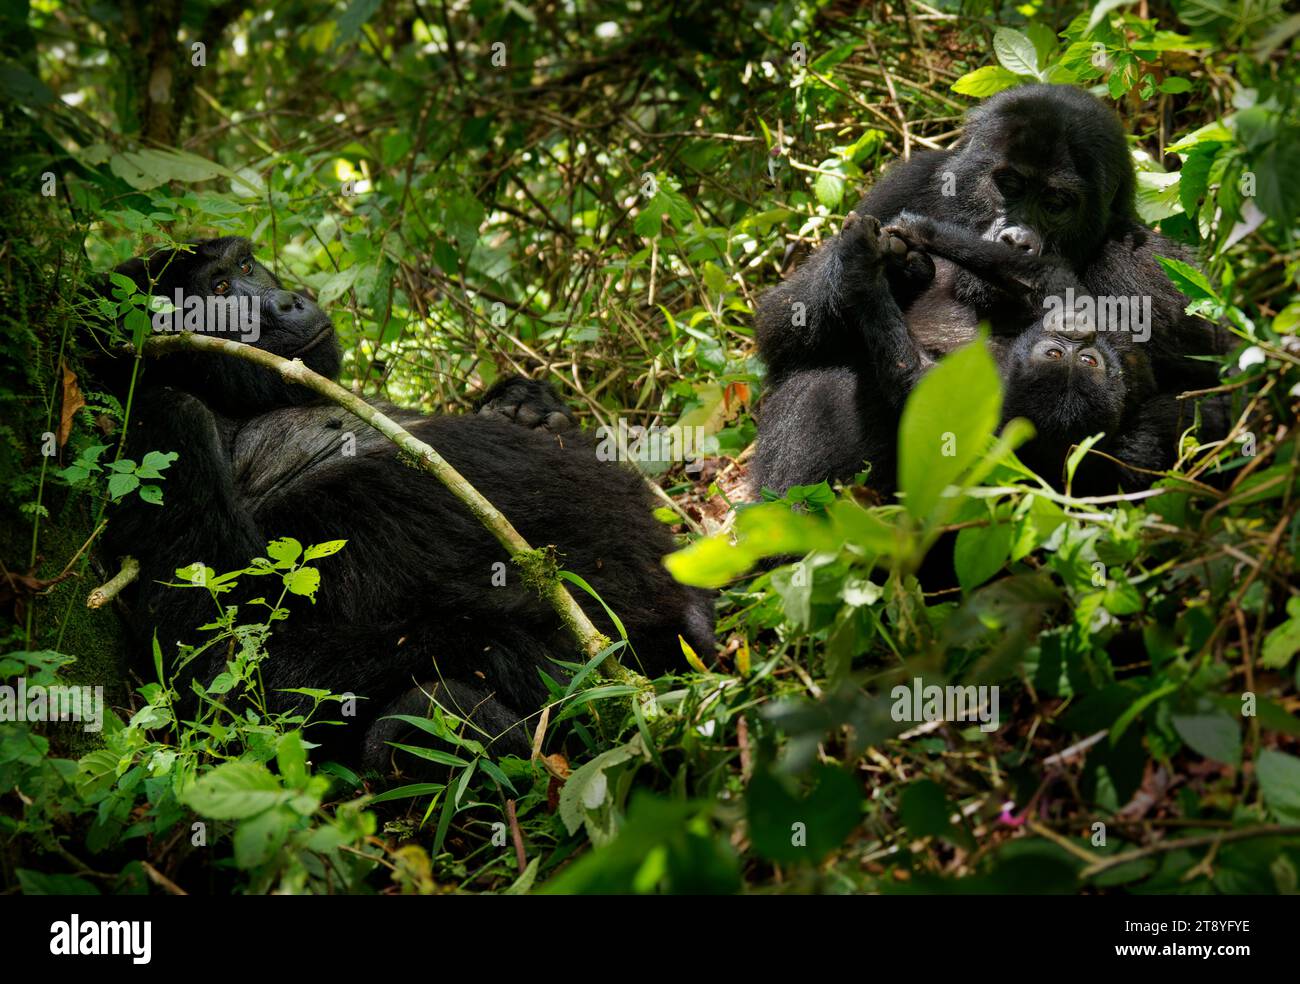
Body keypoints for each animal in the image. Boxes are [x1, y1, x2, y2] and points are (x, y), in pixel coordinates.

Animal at [97, 237, 717, 769]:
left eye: (247, 266)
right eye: (221, 291)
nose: (290, 299)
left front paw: (526, 405)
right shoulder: (164, 426)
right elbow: (232, 675)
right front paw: (507, 653)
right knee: (415, 714)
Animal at [754, 83, 1227, 493]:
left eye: (1057, 204)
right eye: (1009, 185)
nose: (1016, 240)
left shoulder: (1150, 273)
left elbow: (1216, 396)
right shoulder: (908, 181)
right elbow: (782, 326)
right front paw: (886, 267)